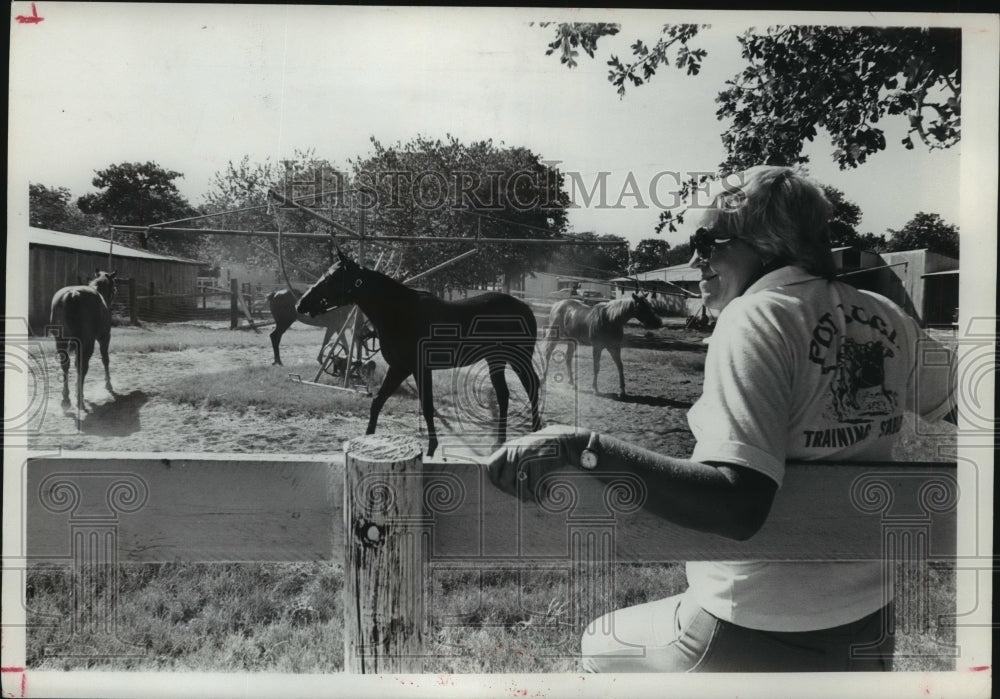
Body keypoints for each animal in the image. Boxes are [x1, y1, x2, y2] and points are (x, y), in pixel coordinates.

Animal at [49, 270, 118, 410]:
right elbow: (105, 359)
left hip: (61, 341)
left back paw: (66, 398)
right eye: (113, 288)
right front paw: (108, 384)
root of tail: (72, 294)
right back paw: (79, 398)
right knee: (83, 366)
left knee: (66, 365)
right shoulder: (104, 337)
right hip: (87, 342)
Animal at [296, 249, 542, 456]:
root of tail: (525, 307)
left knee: (531, 387)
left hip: (518, 360)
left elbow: (427, 407)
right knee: (503, 395)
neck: (401, 312)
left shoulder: (420, 369)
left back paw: (535, 434)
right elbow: (377, 402)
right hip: (495, 360)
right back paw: (498, 442)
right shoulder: (399, 368)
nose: (301, 304)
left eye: (331, 278)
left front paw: (431, 448)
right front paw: (367, 440)